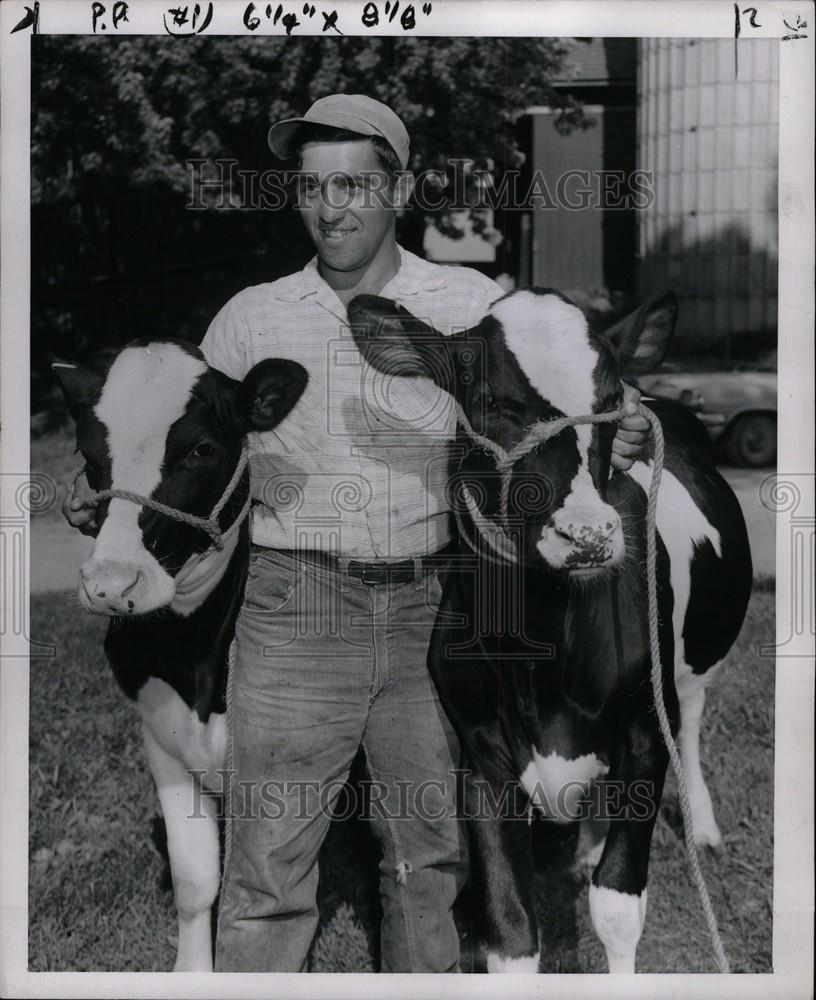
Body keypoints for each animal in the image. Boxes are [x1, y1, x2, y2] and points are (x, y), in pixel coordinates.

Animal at [350, 288, 752, 968]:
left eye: (611, 400)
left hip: (692, 665)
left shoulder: (645, 732)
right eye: (491, 401)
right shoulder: (481, 752)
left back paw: (702, 825)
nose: (587, 535)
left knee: (692, 720)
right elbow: (510, 933)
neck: (543, 646)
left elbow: (616, 908)